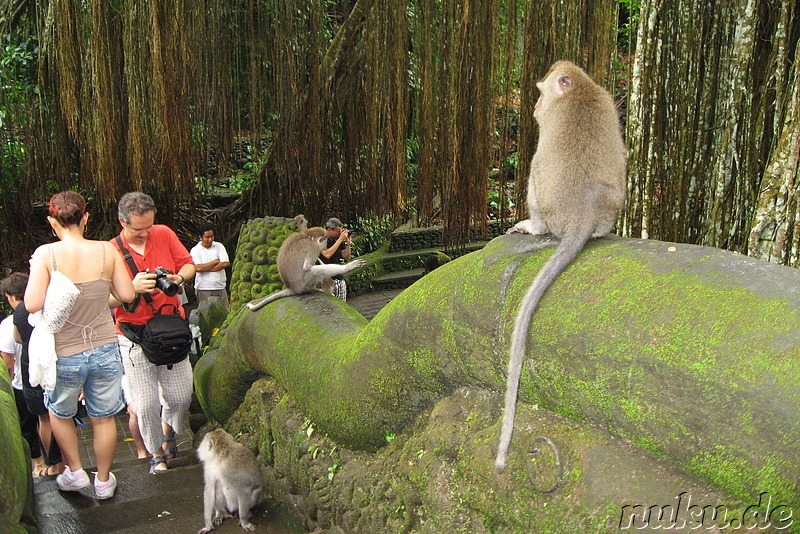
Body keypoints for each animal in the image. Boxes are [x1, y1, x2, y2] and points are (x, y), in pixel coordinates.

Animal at [494, 60, 632, 476]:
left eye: (541, 93)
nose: (536, 107)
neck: (581, 88)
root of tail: (582, 215)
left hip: (547, 205)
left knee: (534, 173)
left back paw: (533, 225)